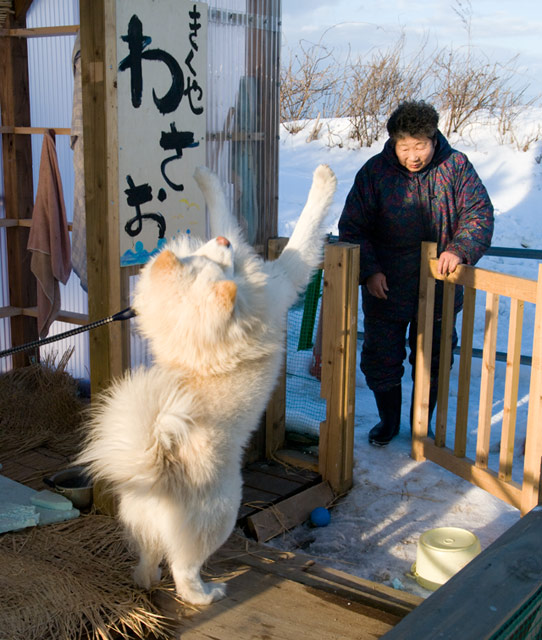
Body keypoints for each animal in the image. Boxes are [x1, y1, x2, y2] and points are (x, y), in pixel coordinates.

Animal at [78, 164, 338, 604]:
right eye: (215, 269)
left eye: (202, 258)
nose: (222, 244)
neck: (196, 349)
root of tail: (157, 464)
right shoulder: (283, 278)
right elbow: (304, 232)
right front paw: (324, 181)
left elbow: (222, 211)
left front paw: (202, 175)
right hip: (223, 513)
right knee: (183, 572)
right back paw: (207, 594)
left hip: (143, 527)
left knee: (148, 560)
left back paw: (146, 578)